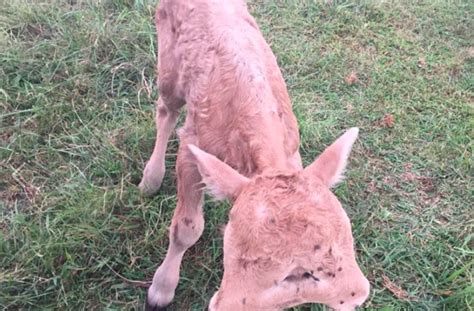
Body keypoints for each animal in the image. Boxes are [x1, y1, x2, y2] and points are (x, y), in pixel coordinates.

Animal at [141, 1, 370, 310]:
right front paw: (161, 291)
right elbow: (186, 229)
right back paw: (150, 179)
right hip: (168, 58)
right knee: (166, 110)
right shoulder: (192, 146)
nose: (358, 294)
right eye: (298, 274)